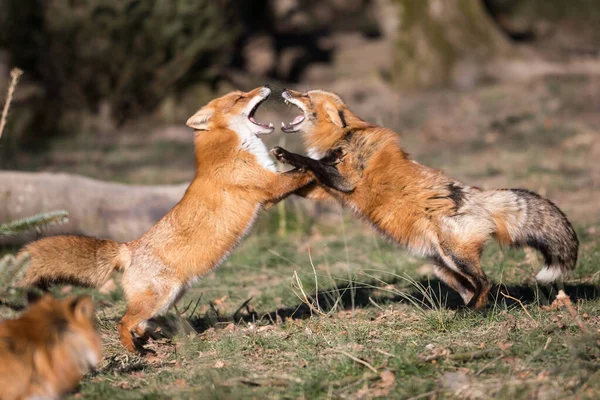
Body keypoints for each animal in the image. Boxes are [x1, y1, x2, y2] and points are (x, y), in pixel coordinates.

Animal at [17, 86, 314, 350]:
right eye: (240, 97)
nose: (266, 86)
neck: (233, 150)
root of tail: (128, 248)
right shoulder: (270, 186)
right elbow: (302, 173)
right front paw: (321, 164)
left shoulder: (270, 195)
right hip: (159, 297)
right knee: (124, 322)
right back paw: (134, 349)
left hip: (171, 296)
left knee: (140, 323)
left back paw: (153, 336)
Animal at [272, 88, 576, 310]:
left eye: (306, 95)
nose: (284, 89)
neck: (342, 136)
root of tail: (477, 195)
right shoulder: (324, 189)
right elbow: (302, 176)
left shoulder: (345, 181)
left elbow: (311, 162)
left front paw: (286, 154)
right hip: (443, 267)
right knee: (474, 289)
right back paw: (467, 309)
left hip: (455, 256)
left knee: (486, 283)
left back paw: (470, 313)